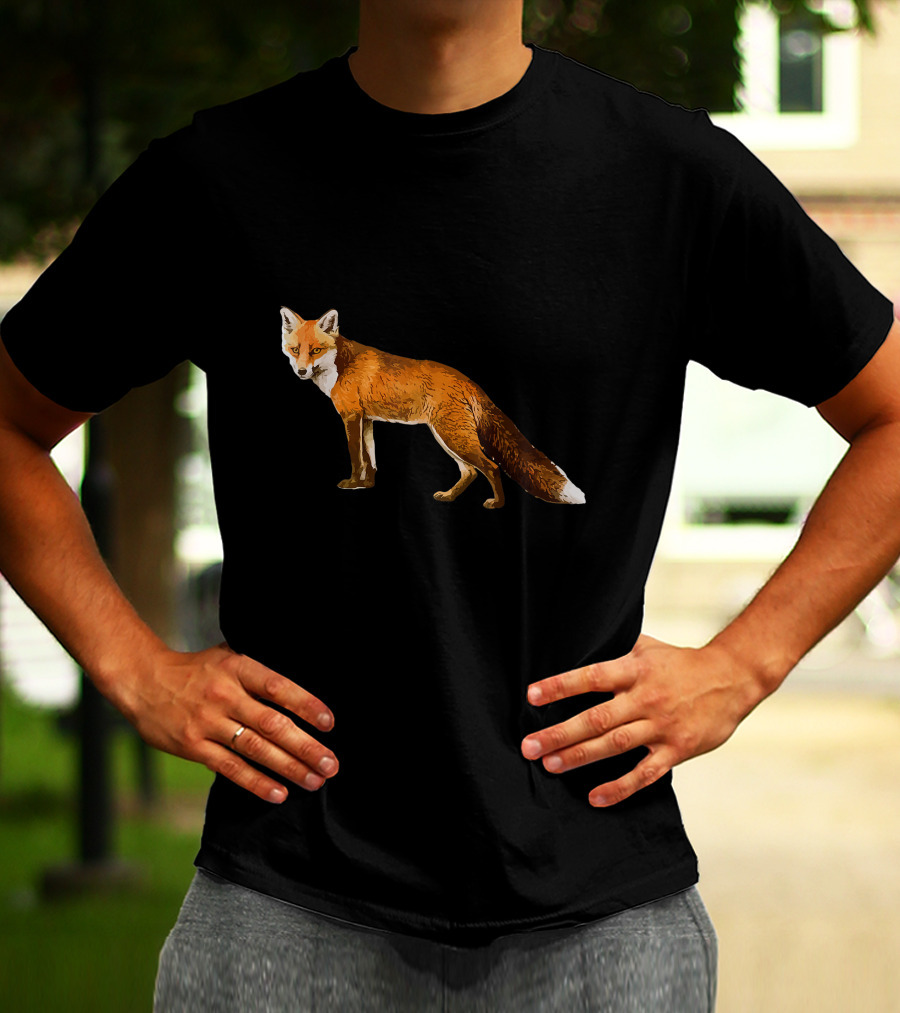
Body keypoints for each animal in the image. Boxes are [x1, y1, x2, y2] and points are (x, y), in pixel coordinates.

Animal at [279, 306, 586, 509]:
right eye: (295, 350)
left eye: (315, 350)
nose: (302, 371)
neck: (340, 366)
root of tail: (468, 381)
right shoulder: (367, 420)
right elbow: (371, 459)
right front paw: (367, 486)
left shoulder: (351, 417)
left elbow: (357, 459)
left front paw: (353, 484)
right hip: (446, 437)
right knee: (470, 472)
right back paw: (449, 497)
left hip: (453, 436)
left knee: (490, 467)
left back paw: (496, 504)